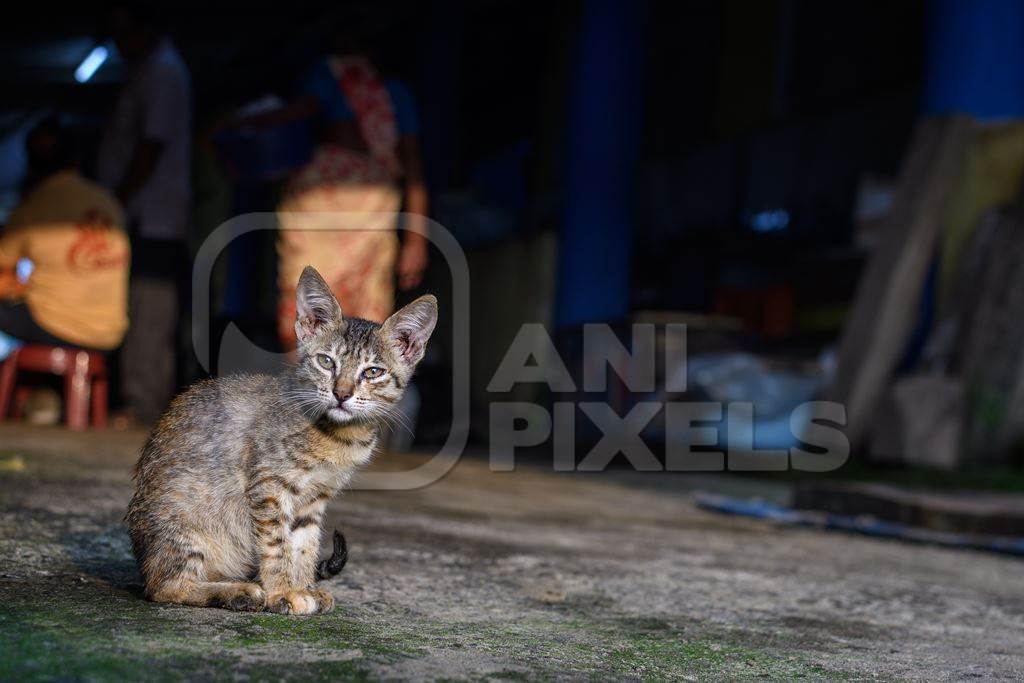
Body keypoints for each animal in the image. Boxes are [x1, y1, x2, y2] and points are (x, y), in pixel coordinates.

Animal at [124, 266, 436, 614]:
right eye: (326, 362)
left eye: (373, 372)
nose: (341, 394)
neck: (339, 436)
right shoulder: (269, 485)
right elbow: (276, 543)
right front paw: (282, 591)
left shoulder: (315, 497)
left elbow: (304, 544)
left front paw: (303, 587)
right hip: (183, 516)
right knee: (163, 587)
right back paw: (238, 592)